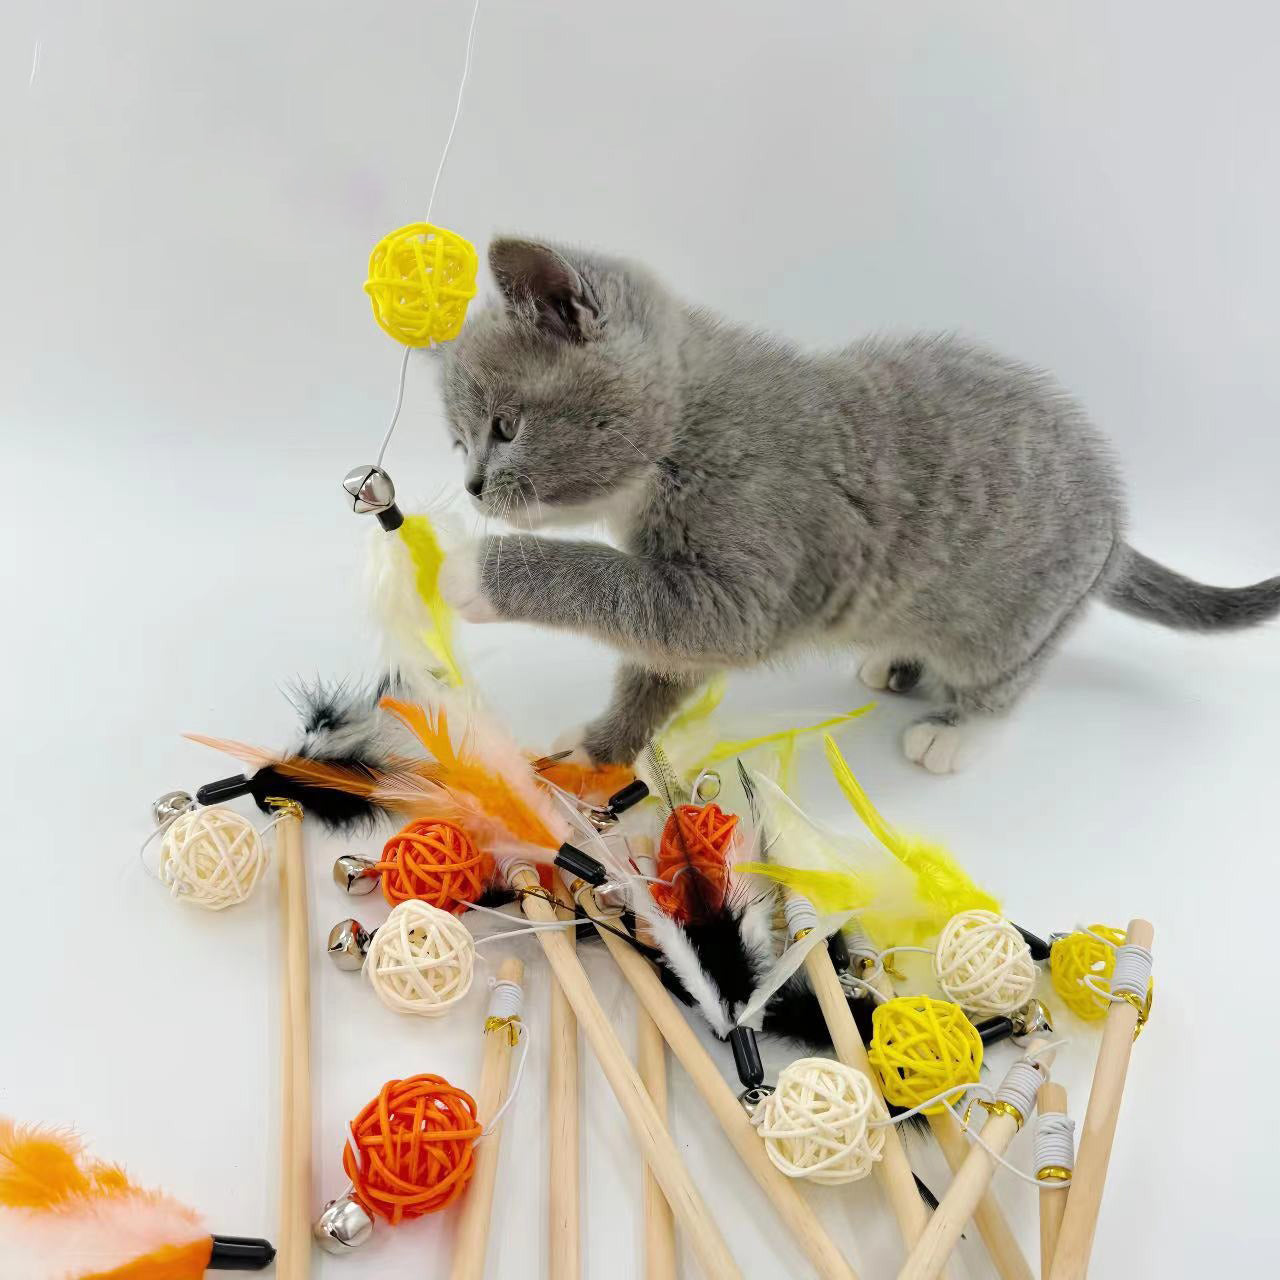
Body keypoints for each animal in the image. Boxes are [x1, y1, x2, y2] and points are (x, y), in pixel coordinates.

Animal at [437, 237, 1280, 773]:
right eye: (457, 443)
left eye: (505, 429)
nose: (474, 485)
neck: (684, 427)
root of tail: (1118, 514)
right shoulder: (688, 607)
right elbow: (658, 666)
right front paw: (604, 746)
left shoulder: (739, 587)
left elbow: (607, 581)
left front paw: (478, 569)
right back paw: (896, 661)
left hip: (1019, 621)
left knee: (1006, 679)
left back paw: (958, 732)